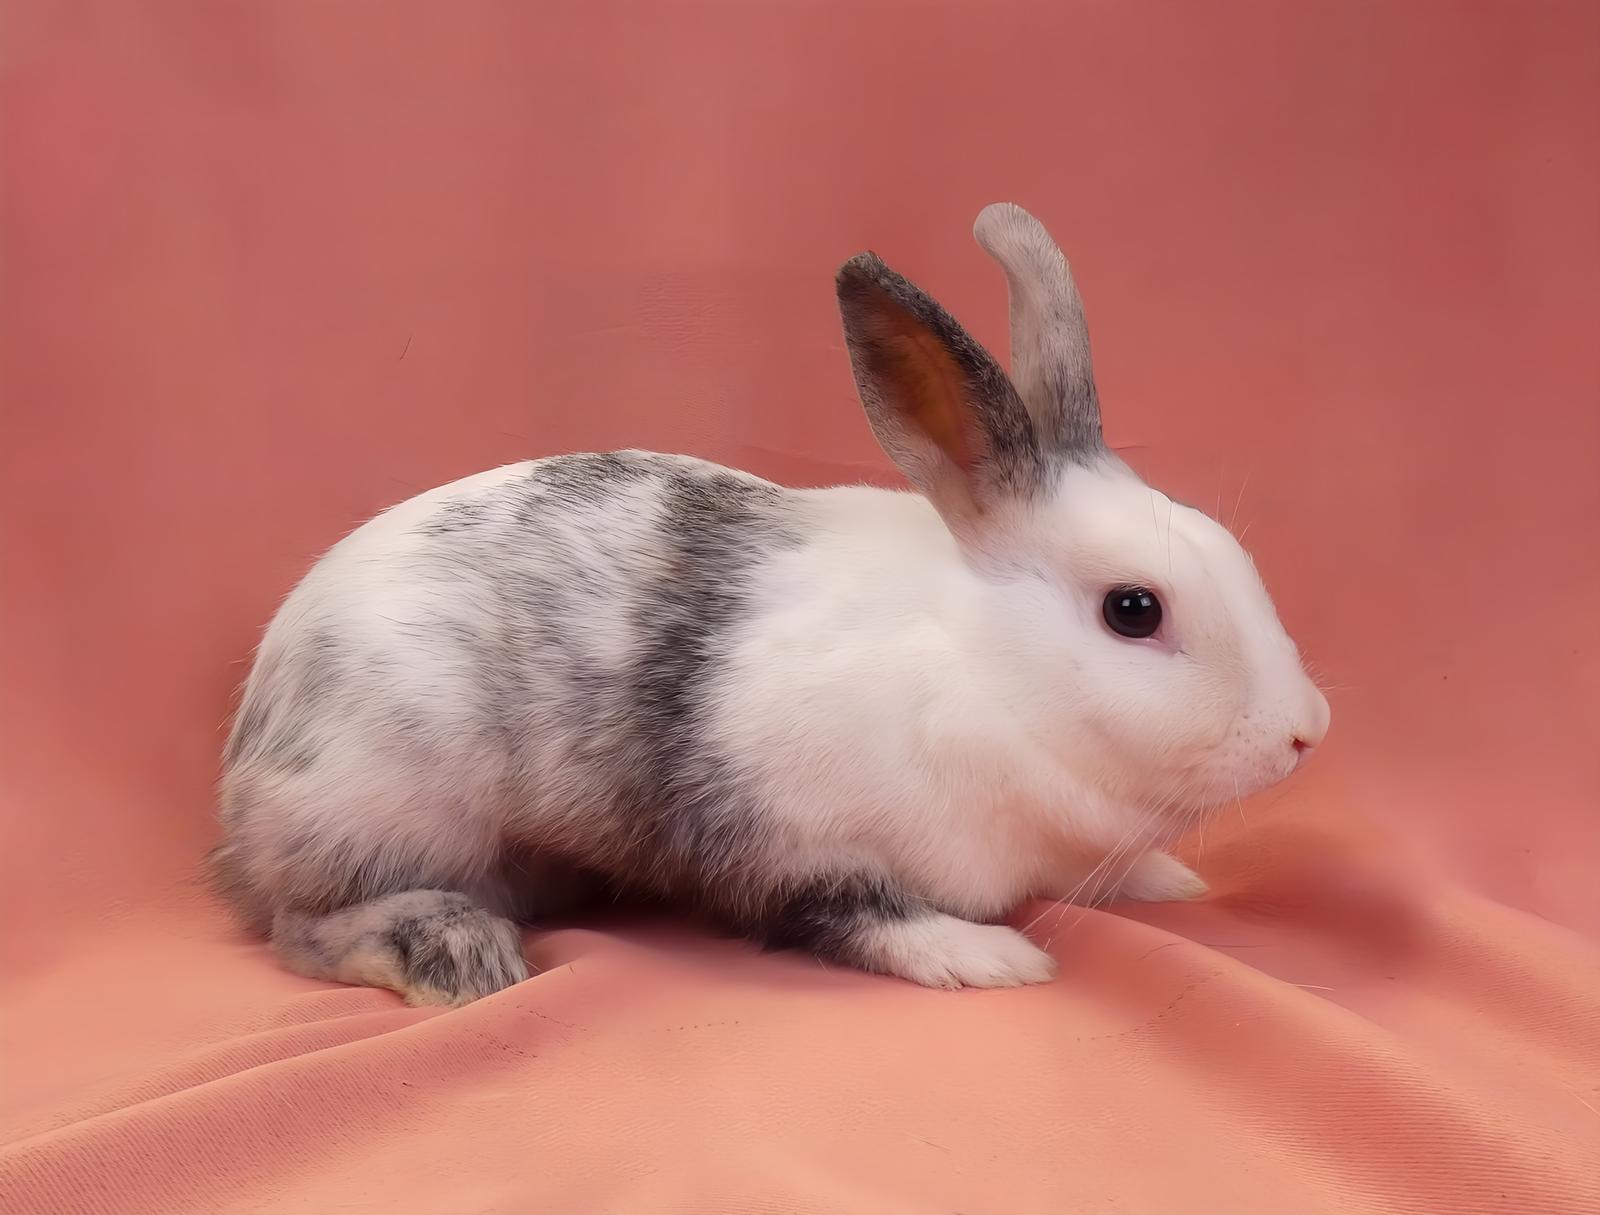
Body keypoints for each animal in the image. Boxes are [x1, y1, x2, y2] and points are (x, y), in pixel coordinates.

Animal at [211, 203, 1330, 1006]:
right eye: (1133, 611)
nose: (1305, 732)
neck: (985, 673)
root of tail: (243, 765)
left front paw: (1162, 880)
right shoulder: (788, 843)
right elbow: (850, 916)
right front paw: (984, 956)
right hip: (379, 810)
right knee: (300, 929)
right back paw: (457, 954)